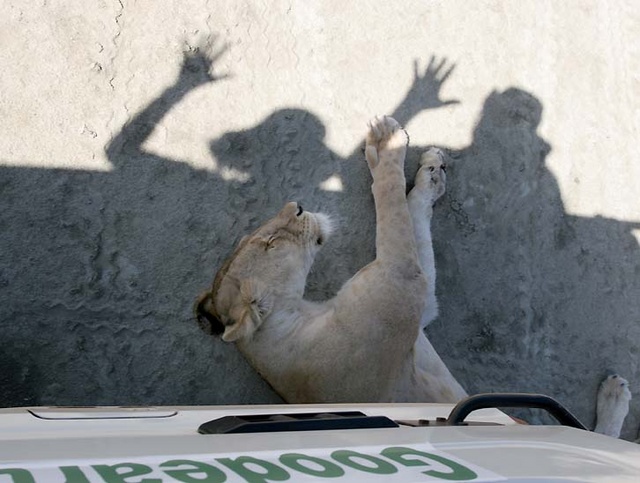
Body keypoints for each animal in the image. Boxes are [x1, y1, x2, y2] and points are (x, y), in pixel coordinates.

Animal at [195, 115, 467, 404]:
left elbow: (414, 216)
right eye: (271, 242)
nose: (296, 206)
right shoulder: (400, 277)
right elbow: (391, 199)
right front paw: (386, 139)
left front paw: (432, 173)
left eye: (253, 238)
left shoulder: (421, 304)